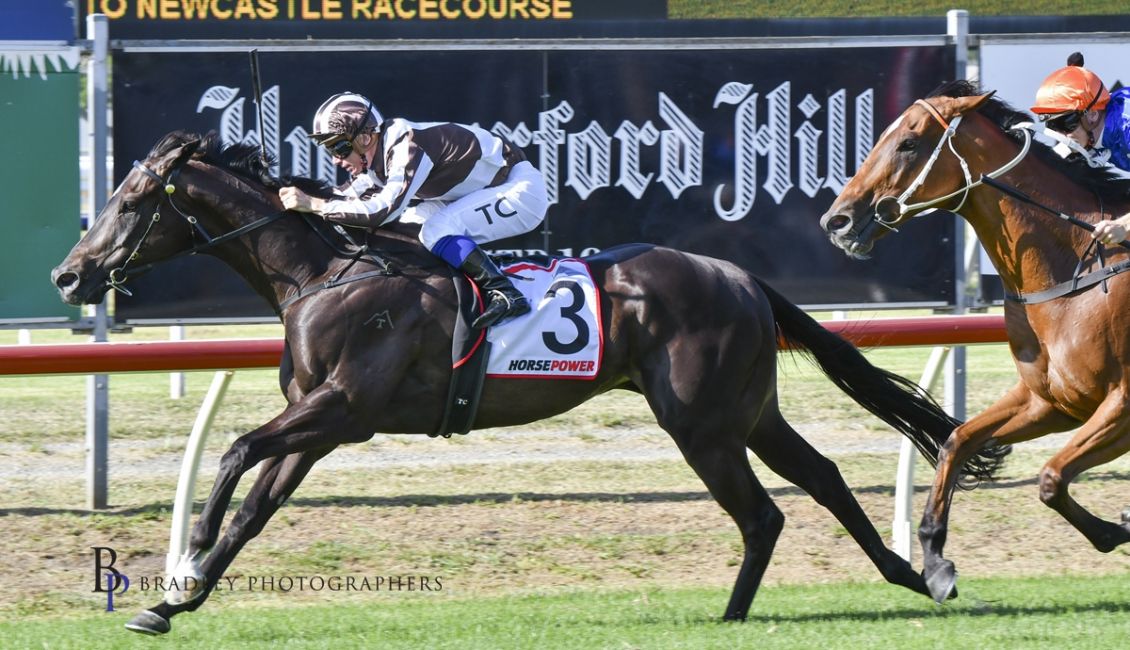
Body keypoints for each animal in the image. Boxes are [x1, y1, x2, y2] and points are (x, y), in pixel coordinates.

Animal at [53, 130, 1007, 635]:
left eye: (132, 202)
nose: (69, 276)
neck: (325, 271)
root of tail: (736, 275)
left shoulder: (343, 409)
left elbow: (233, 457)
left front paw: (177, 568)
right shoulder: (318, 422)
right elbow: (254, 505)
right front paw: (174, 600)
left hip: (700, 422)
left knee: (765, 511)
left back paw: (744, 614)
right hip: (747, 411)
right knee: (822, 479)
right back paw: (914, 575)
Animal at [819, 80, 1130, 604]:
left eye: (909, 142)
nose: (836, 221)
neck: (1074, 265)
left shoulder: (1122, 405)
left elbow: (1050, 477)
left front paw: (1116, 529)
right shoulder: (1051, 402)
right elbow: (957, 442)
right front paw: (935, 561)